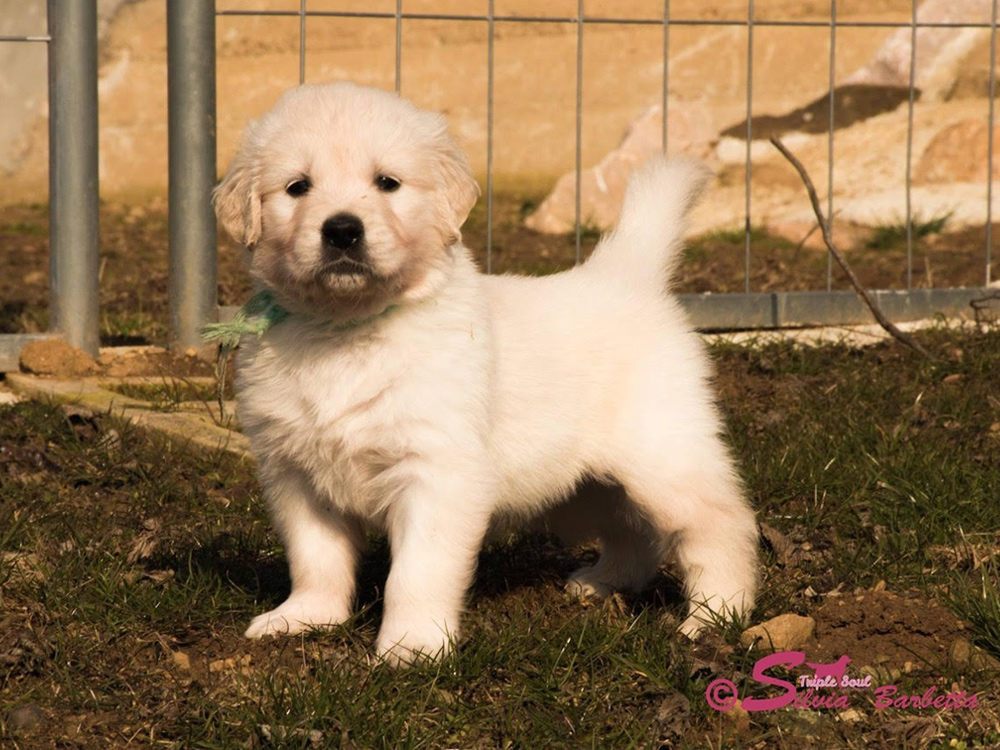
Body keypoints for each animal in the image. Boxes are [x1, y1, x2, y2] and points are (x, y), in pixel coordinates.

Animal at [213, 82, 756, 668]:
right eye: (297, 187)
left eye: (387, 183)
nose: (341, 230)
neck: (345, 329)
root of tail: (625, 274)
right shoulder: (295, 473)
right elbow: (315, 556)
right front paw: (305, 617)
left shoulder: (436, 471)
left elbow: (416, 573)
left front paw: (411, 648)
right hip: (581, 486)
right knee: (632, 530)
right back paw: (604, 582)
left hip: (663, 456)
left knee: (719, 523)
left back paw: (716, 614)